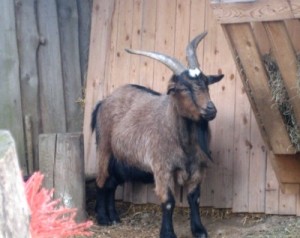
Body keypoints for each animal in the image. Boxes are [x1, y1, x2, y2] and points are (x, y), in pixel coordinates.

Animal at [91, 31, 223, 238]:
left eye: (206, 84)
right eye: (183, 88)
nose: (210, 110)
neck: (183, 142)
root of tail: (103, 101)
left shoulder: (197, 167)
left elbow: (194, 197)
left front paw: (199, 230)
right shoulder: (163, 168)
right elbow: (168, 202)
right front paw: (168, 233)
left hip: (123, 160)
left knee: (111, 184)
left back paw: (114, 218)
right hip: (104, 149)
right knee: (101, 181)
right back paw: (103, 218)